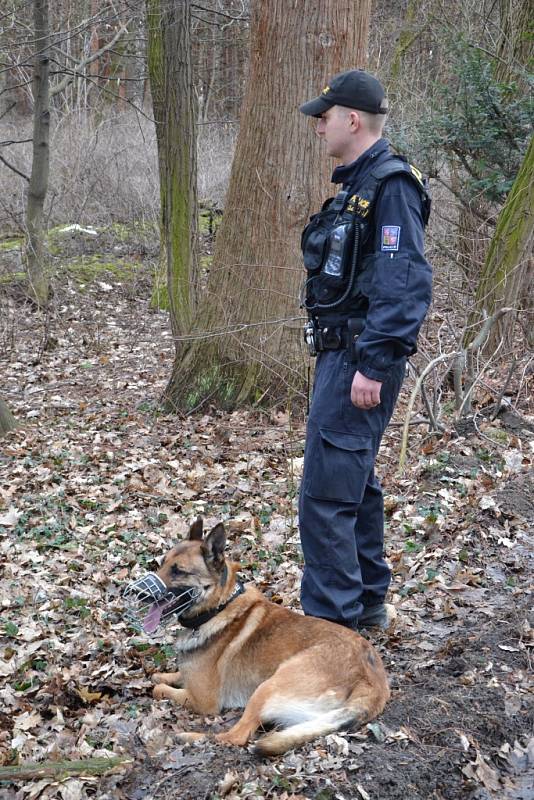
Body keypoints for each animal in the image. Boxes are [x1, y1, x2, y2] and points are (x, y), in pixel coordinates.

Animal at [125, 520, 390, 756]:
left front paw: (160, 684)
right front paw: (164, 674)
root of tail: (371, 681)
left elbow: (159, 689)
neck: (218, 608)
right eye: (162, 563)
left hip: (267, 687)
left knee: (236, 736)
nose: (136, 593)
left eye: (178, 571)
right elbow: (173, 675)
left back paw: (191, 737)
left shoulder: (203, 701)